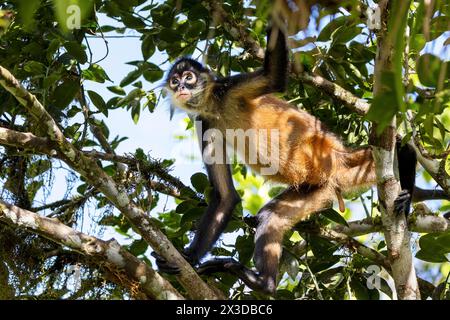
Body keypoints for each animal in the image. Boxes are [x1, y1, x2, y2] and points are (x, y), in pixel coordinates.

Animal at [157, 25, 418, 296]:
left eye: (188, 77)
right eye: (174, 81)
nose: (180, 87)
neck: (216, 106)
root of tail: (337, 158)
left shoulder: (228, 87)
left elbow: (274, 77)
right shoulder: (205, 122)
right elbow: (226, 196)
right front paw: (188, 257)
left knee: (402, 146)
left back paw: (406, 200)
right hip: (316, 190)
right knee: (270, 217)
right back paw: (263, 283)